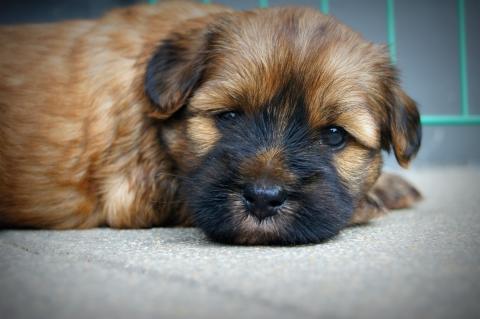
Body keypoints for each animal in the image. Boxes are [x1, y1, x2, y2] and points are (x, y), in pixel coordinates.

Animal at [0, 1, 420, 245]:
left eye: (334, 135)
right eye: (229, 116)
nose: (263, 198)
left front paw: (391, 186)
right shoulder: (137, 191)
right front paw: (371, 201)